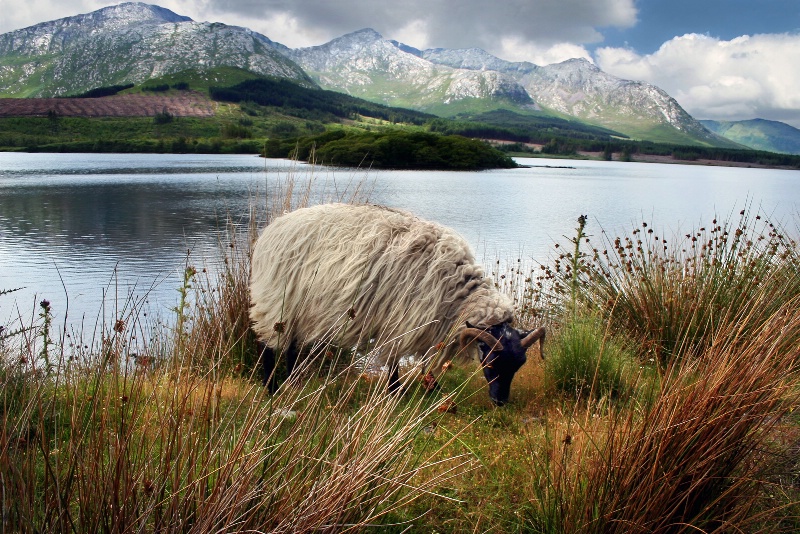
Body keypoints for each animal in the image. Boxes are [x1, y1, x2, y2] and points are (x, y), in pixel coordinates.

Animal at [250, 204, 548, 406]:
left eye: (519, 365)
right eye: (491, 360)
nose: (501, 402)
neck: (455, 291)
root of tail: (274, 228)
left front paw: (431, 388)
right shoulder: (401, 320)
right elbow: (395, 360)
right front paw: (396, 392)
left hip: (298, 308)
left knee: (291, 346)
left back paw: (293, 383)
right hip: (276, 299)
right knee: (268, 345)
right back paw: (271, 388)